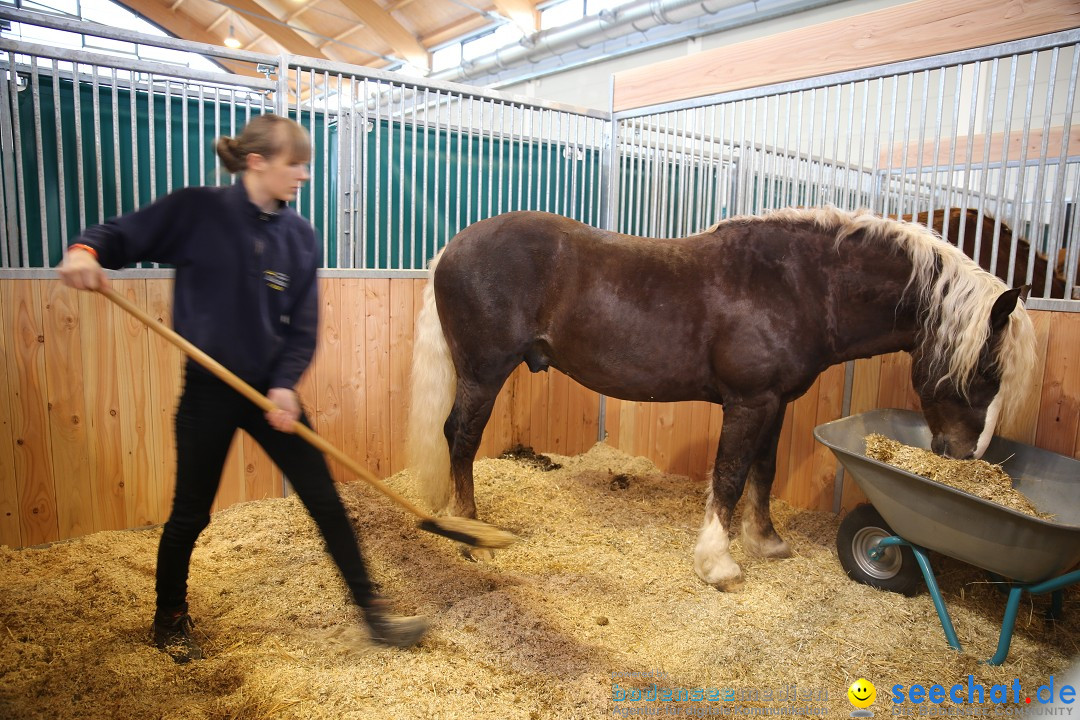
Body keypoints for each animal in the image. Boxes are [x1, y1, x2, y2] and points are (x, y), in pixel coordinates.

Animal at [406, 207, 1036, 591]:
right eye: (986, 369)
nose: (965, 454)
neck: (798, 285)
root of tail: (450, 249)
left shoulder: (776, 402)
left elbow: (763, 469)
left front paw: (767, 542)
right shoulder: (748, 401)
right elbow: (729, 475)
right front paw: (718, 563)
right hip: (484, 373)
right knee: (461, 438)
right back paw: (471, 535)